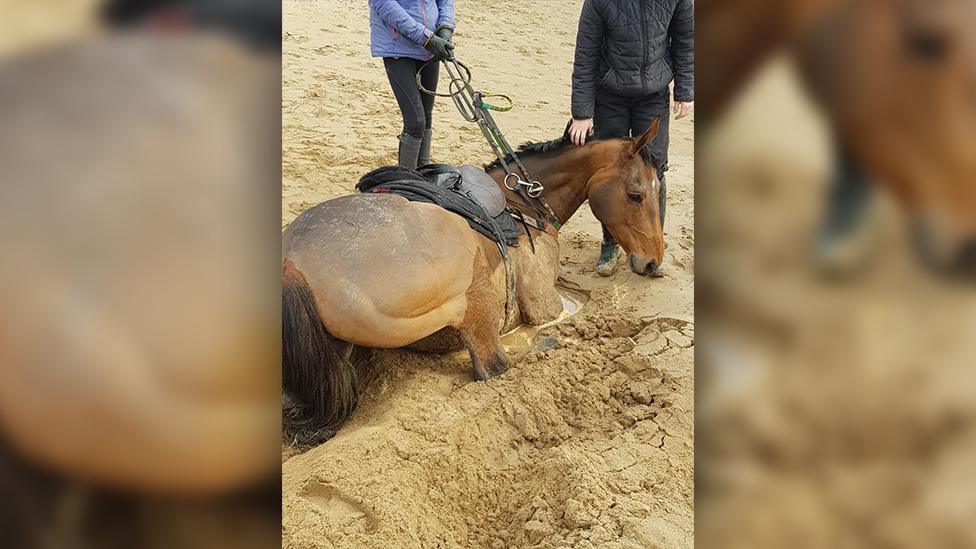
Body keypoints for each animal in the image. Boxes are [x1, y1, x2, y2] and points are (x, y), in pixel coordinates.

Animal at [282, 119, 664, 436]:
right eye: (636, 195)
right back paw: (548, 345)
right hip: (475, 291)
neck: (523, 203)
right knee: (495, 364)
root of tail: (292, 265)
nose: (653, 261)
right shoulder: (543, 302)